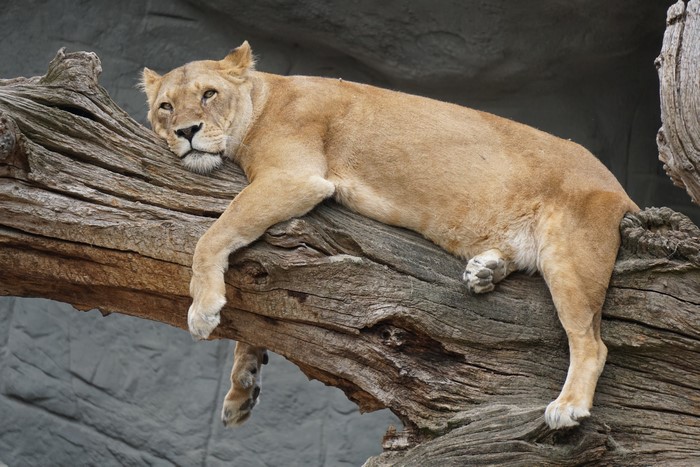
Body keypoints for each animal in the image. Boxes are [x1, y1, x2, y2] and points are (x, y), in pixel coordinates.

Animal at [141, 41, 638, 430]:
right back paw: (485, 270)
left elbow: (214, 234)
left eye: (209, 95)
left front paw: (202, 310)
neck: (262, 98)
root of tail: (621, 190)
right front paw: (242, 387)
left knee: (592, 343)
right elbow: (258, 317)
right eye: (166, 106)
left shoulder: (294, 177)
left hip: (571, 257)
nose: (187, 131)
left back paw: (568, 406)